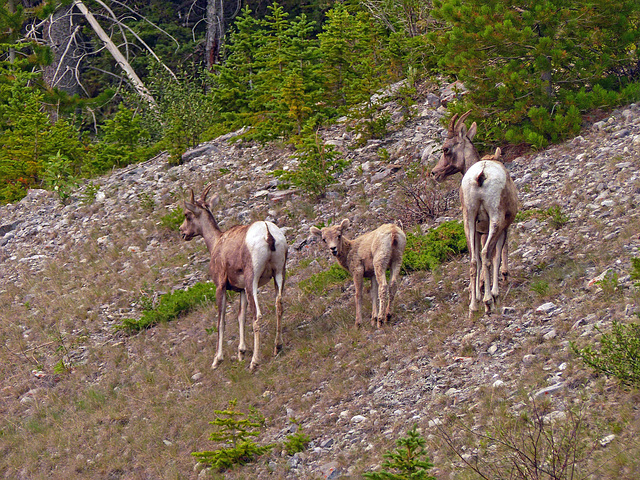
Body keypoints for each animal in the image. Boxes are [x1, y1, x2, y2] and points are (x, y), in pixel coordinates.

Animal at [181, 185, 288, 372]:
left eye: (187, 214)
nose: (182, 231)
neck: (217, 242)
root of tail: (268, 233)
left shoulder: (221, 287)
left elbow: (221, 321)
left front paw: (217, 360)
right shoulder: (241, 290)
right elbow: (240, 317)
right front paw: (241, 353)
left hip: (252, 280)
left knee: (257, 315)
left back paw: (254, 362)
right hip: (279, 273)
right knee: (279, 305)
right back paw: (277, 347)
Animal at [428, 110, 516, 316]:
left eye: (445, 149)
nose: (435, 173)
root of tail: (480, 175)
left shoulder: (477, 230)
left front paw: (474, 293)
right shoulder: (501, 228)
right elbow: (497, 255)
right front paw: (493, 289)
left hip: (468, 220)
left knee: (474, 260)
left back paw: (474, 306)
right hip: (495, 219)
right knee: (486, 255)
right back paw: (488, 301)